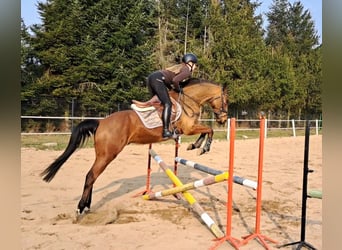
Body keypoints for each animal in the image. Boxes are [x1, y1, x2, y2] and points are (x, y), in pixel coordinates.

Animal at [40, 78, 227, 215]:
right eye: (226, 100)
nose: (223, 120)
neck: (188, 100)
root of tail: (101, 123)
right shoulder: (188, 128)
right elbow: (209, 130)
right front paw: (203, 147)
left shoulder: (189, 129)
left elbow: (206, 130)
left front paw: (195, 145)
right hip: (108, 154)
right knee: (91, 175)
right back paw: (81, 207)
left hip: (103, 155)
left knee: (92, 176)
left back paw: (87, 205)